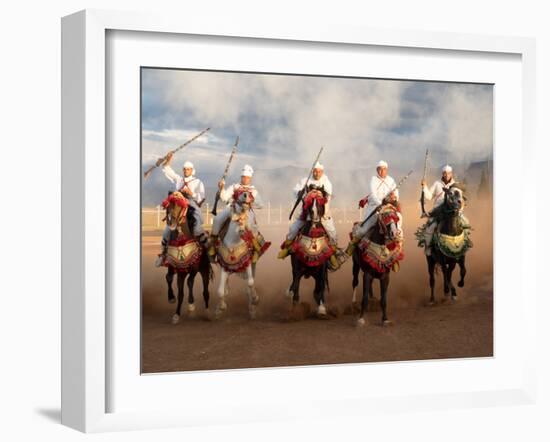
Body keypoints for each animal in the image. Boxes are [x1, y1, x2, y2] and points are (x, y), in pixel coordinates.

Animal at [161, 192, 215, 322]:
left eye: (179, 206)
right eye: (168, 206)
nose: (171, 223)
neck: (181, 240)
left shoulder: (194, 267)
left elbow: (190, 282)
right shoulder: (176, 268)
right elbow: (173, 284)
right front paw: (175, 311)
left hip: (204, 270)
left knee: (204, 290)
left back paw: (207, 312)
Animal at [212, 189, 270, 318]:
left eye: (250, 194)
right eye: (237, 194)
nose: (246, 195)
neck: (234, 242)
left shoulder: (247, 262)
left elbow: (250, 283)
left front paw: (255, 300)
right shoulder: (225, 266)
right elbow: (220, 291)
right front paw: (220, 308)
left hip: (253, 263)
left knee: (251, 282)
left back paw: (252, 307)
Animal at [286, 186, 342, 318]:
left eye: (320, 200)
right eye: (308, 200)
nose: (314, 214)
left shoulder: (321, 269)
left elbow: (320, 288)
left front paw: (321, 309)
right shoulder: (297, 268)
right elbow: (296, 286)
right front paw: (294, 310)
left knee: (317, 288)